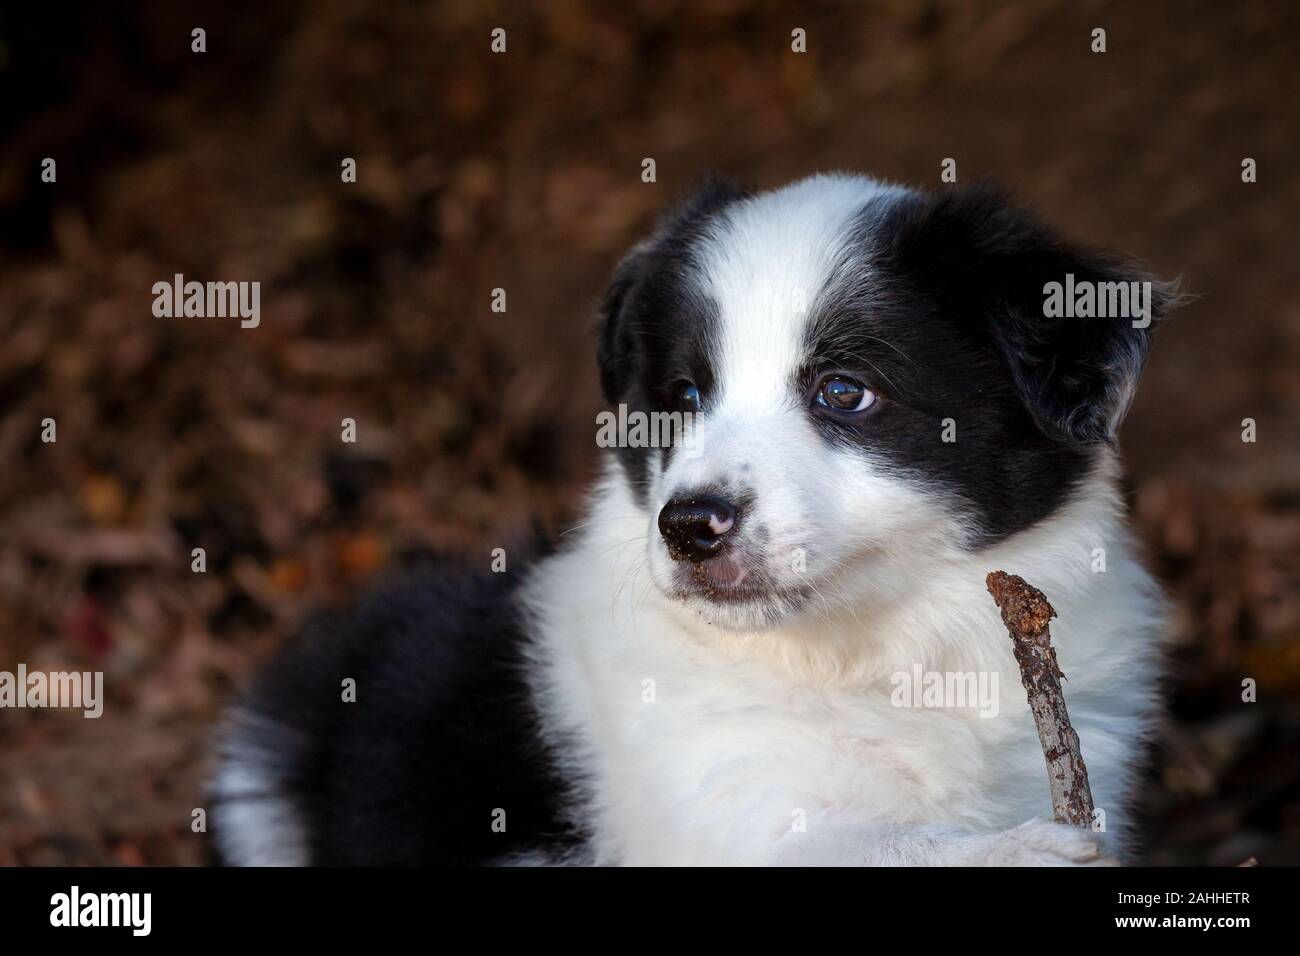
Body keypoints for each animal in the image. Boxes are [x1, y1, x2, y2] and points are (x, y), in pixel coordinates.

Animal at [210, 171, 1170, 868]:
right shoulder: (726, 806)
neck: (886, 653)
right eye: (681, 397)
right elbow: (878, 848)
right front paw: (1019, 853)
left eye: (845, 391)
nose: (690, 526)